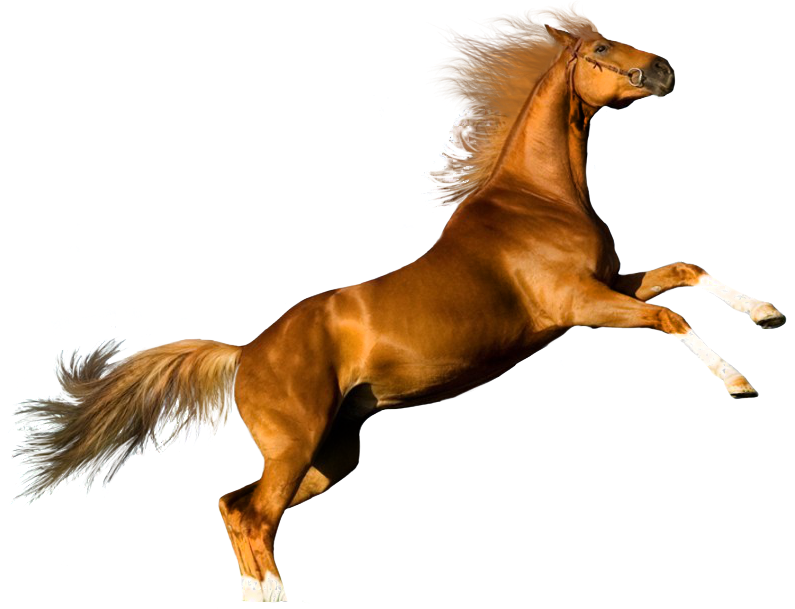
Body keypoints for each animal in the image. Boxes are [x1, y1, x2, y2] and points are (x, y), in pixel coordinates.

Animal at [9, 2, 786, 602]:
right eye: (598, 49)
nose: (667, 69)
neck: (538, 200)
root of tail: (245, 353)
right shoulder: (579, 307)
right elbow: (669, 315)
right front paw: (738, 381)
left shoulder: (612, 284)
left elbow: (685, 270)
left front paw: (766, 313)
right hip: (296, 446)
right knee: (255, 518)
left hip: (333, 454)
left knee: (235, 507)